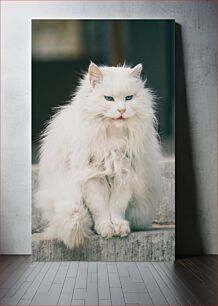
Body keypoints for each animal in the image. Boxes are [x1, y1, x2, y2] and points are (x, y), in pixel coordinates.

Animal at [35, 62, 161, 249]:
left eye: (129, 98)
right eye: (108, 98)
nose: (122, 110)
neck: (113, 140)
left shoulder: (124, 174)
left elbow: (116, 207)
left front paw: (120, 227)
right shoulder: (93, 177)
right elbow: (100, 208)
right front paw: (106, 229)